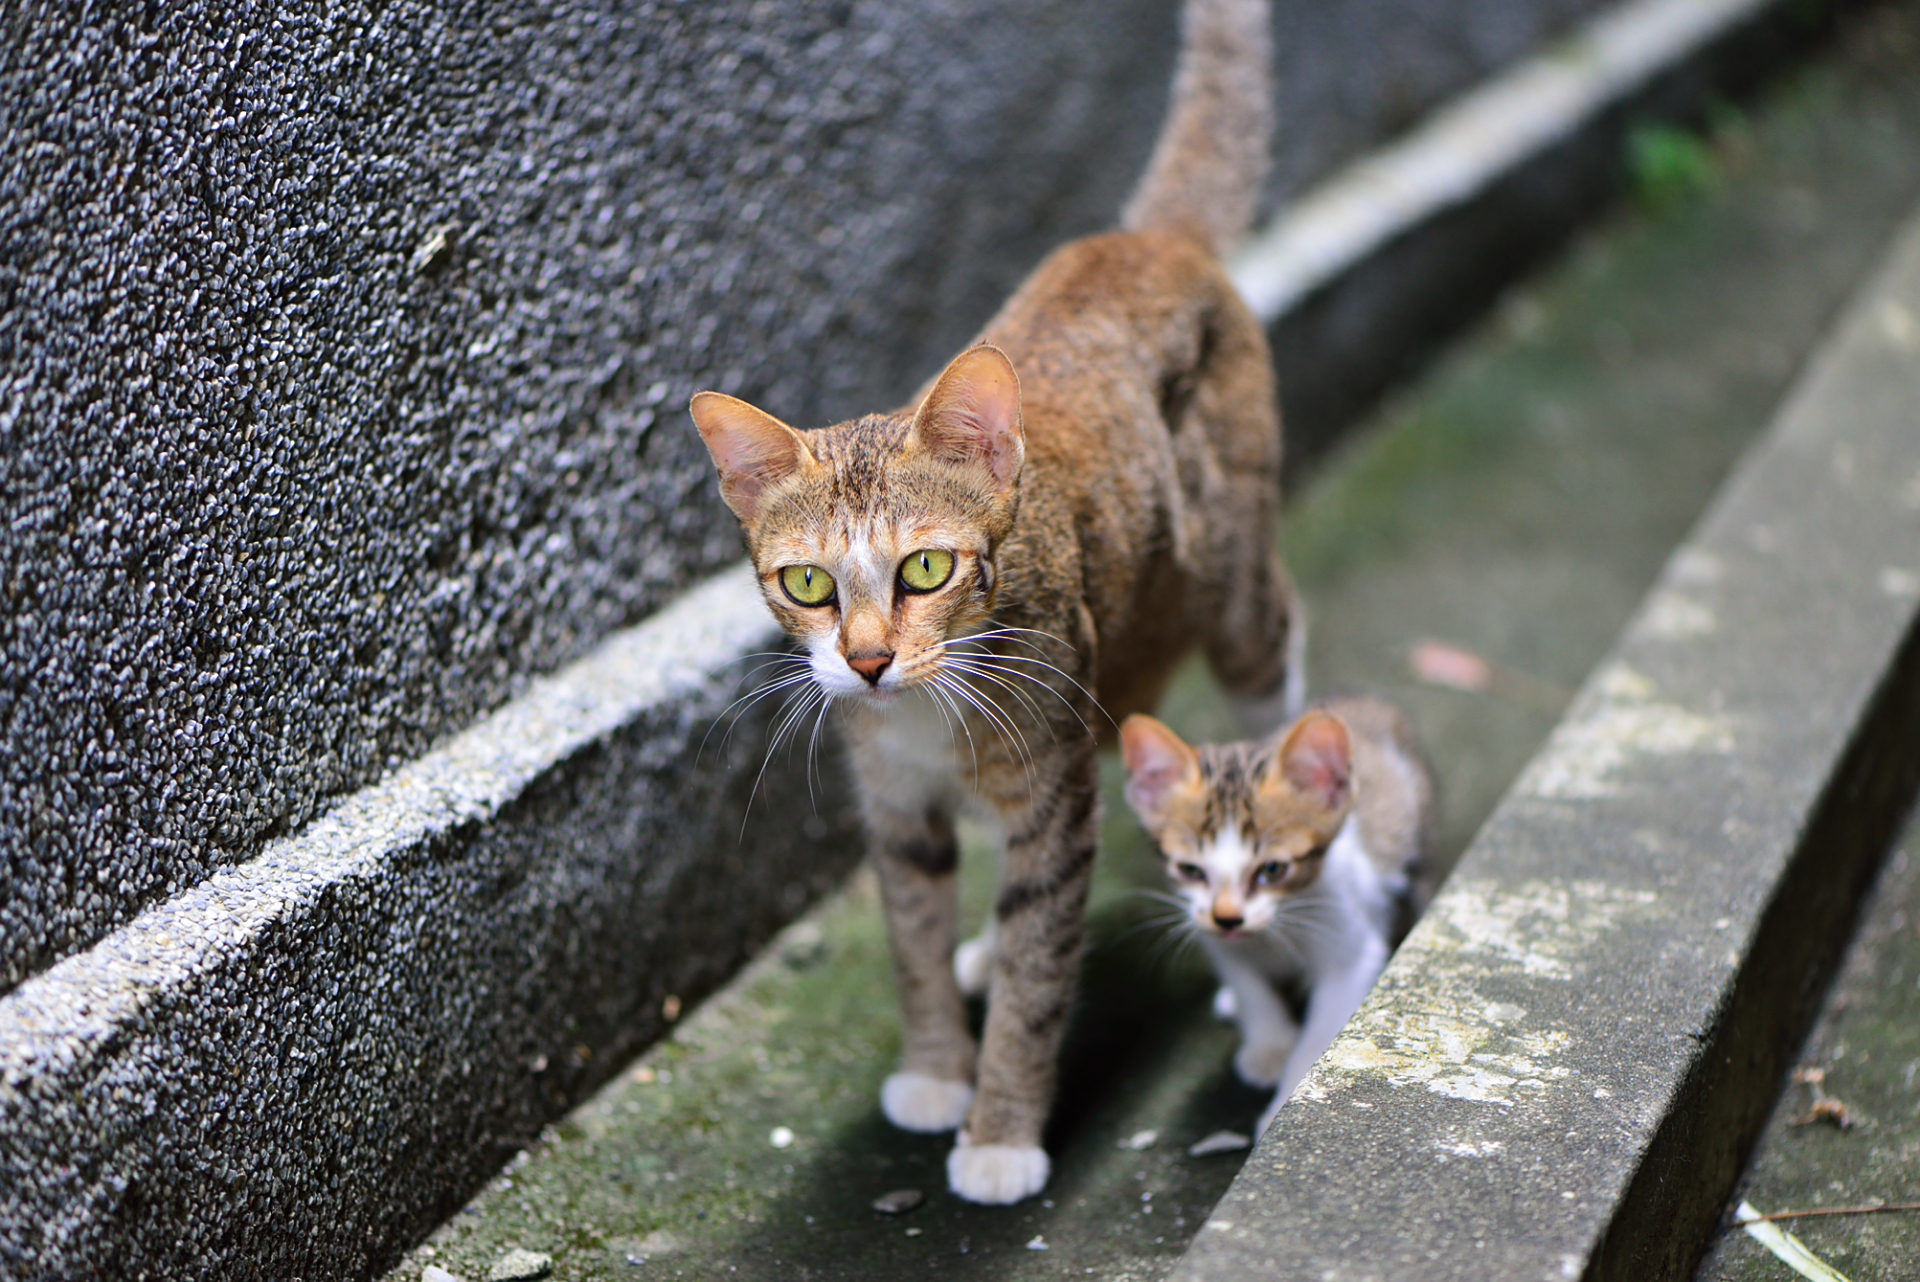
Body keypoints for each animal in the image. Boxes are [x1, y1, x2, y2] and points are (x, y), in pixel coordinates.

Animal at [691, 0, 1290, 1205]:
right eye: (808, 583)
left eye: (927, 569)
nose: (868, 659)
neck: (930, 707)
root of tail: (1148, 241)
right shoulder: (894, 802)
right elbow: (914, 934)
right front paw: (936, 1068)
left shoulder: (1051, 794)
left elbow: (1038, 962)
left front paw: (1002, 1129)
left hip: (1241, 597)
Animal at [1121, 702, 1428, 1128]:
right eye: (1190, 870)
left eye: (1272, 870)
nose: (1227, 918)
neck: (1278, 927)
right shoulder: (1214, 938)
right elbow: (1250, 987)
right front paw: (1268, 1046)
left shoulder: (1349, 950)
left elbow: (1320, 1037)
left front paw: (1282, 1104)